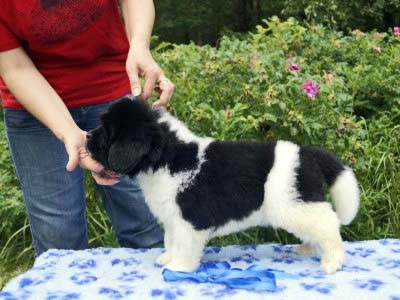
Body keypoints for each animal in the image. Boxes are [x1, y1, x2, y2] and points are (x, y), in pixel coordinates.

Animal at [86, 98, 360, 274]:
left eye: (107, 132)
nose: (87, 137)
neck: (168, 157)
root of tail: (309, 153)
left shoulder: (189, 219)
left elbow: (184, 245)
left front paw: (179, 268)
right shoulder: (174, 219)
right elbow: (170, 240)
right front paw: (167, 259)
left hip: (295, 204)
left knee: (328, 224)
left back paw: (333, 261)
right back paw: (307, 248)